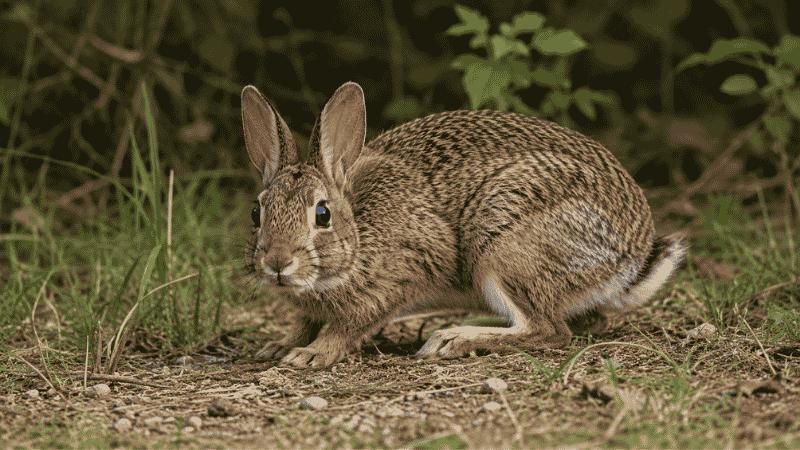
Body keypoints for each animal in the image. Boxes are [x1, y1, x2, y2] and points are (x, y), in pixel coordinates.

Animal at [242, 81, 685, 368]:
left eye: (322, 215)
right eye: (256, 213)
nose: (277, 263)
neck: (358, 234)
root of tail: (633, 255)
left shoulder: (398, 277)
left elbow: (348, 325)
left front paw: (311, 355)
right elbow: (303, 322)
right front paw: (278, 347)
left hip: (502, 249)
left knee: (550, 330)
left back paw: (451, 339)